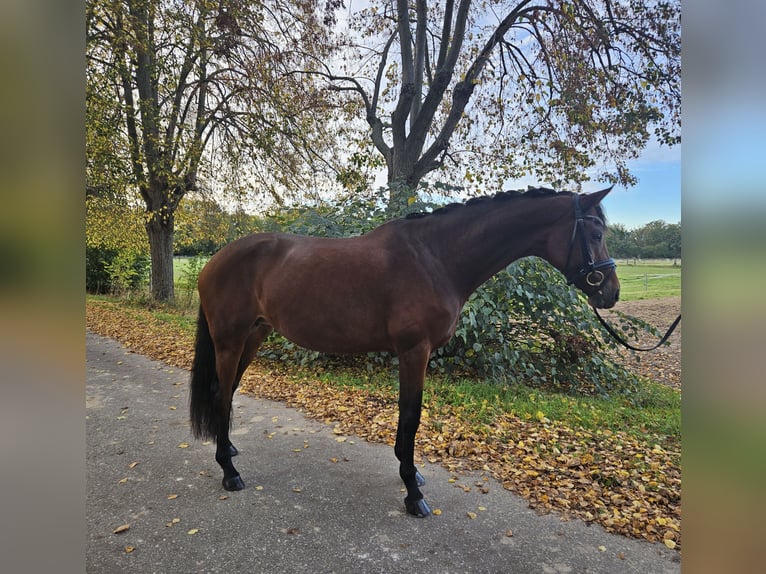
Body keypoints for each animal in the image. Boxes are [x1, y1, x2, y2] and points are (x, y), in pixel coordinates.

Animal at [189, 186, 620, 517]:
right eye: (596, 231)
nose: (610, 292)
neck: (437, 258)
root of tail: (214, 260)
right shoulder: (415, 351)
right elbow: (411, 416)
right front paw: (414, 493)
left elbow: (409, 417)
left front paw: (412, 474)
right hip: (229, 341)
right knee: (220, 394)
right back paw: (229, 472)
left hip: (254, 336)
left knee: (227, 392)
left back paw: (229, 449)